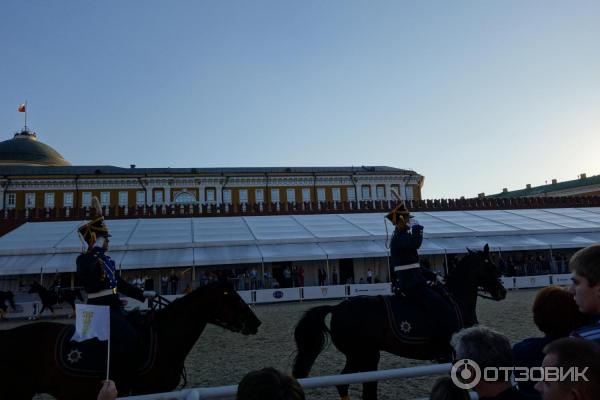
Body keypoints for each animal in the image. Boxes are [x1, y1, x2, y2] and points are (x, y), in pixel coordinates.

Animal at [292, 244, 508, 400]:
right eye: (491, 266)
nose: (502, 291)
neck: (455, 299)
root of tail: (337, 308)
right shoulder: (450, 354)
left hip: (361, 357)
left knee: (348, 385)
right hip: (364, 356)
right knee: (354, 386)